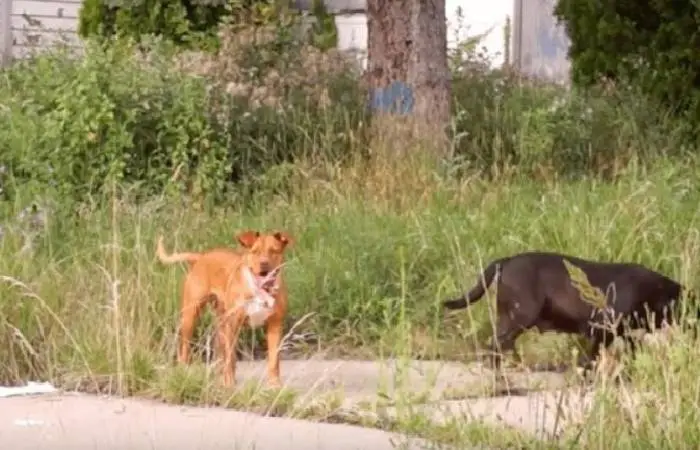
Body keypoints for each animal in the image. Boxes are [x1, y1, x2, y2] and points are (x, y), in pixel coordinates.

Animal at [156, 230, 292, 388]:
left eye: (274, 251)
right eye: (255, 251)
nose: (264, 264)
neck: (259, 289)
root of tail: (201, 257)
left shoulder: (275, 325)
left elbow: (274, 359)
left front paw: (274, 383)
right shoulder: (232, 325)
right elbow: (230, 356)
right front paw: (229, 382)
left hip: (220, 322)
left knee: (220, 352)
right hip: (190, 317)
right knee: (186, 348)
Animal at [446, 251, 688, 370]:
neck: (652, 291)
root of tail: (506, 261)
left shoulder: (624, 335)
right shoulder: (602, 331)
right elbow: (592, 357)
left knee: (502, 344)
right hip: (521, 315)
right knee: (496, 344)